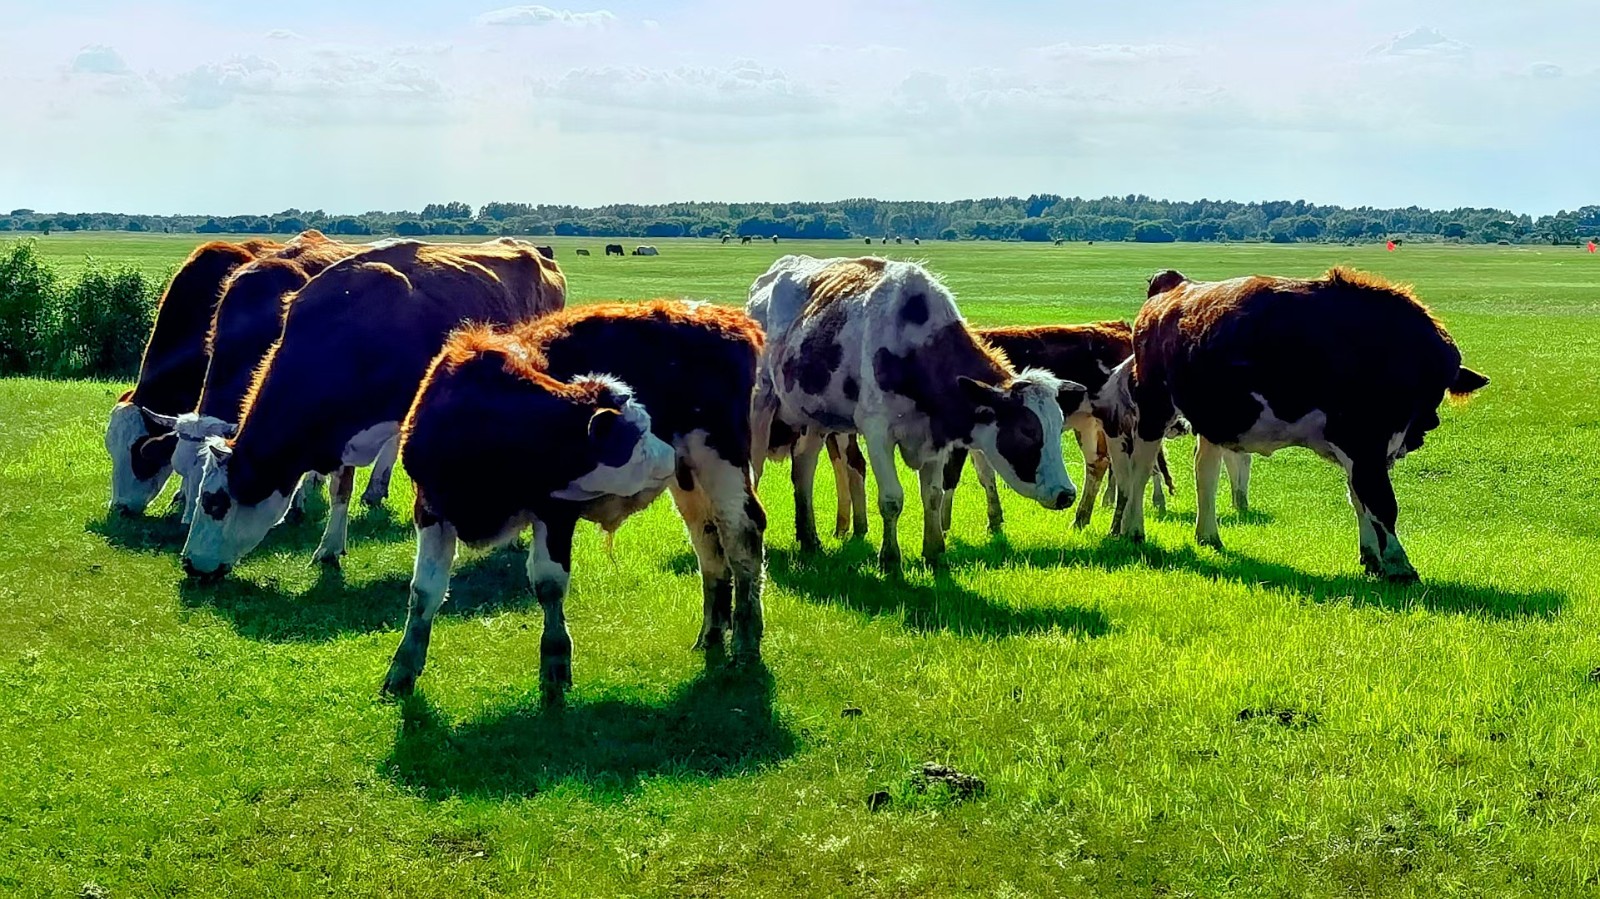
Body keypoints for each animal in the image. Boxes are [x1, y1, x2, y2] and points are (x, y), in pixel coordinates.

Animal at [380, 300, 768, 700]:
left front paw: (555, 663)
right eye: (634, 435)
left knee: (742, 537)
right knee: (708, 543)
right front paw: (403, 669)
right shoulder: (431, 510)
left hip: (721, 462)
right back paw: (711, 634)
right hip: (690, 483)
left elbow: (549, 583)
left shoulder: (555, 511)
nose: (668, 452)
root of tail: (727, 318)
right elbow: (424, 590)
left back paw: (745, 641)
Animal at [752, 255, 1088, 569]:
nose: (1066, 494)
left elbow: (933, 495)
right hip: (761, 404)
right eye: (1026, 431)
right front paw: (890, 560)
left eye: (1058, 429)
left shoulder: (935, 435)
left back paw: (810, 540)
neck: (914, 346)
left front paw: (935, 553)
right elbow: (892, 499)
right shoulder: (877, 432)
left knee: (803, 469)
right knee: (756, 469)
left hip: (814, 419)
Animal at [1100, 263, 1484, 582]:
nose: (1427, 427)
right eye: (1431, 389)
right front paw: (1397, 564)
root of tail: (1174, 287)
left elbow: (1360, 499)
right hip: (1154, 410)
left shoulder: (1361, 452)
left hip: (1212, 419)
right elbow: (1381, 503)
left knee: (1204, 472)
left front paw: (1372, 558)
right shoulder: (1364, 445)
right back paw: (1133, 530)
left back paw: (1208, 536)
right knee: (1140, 469)